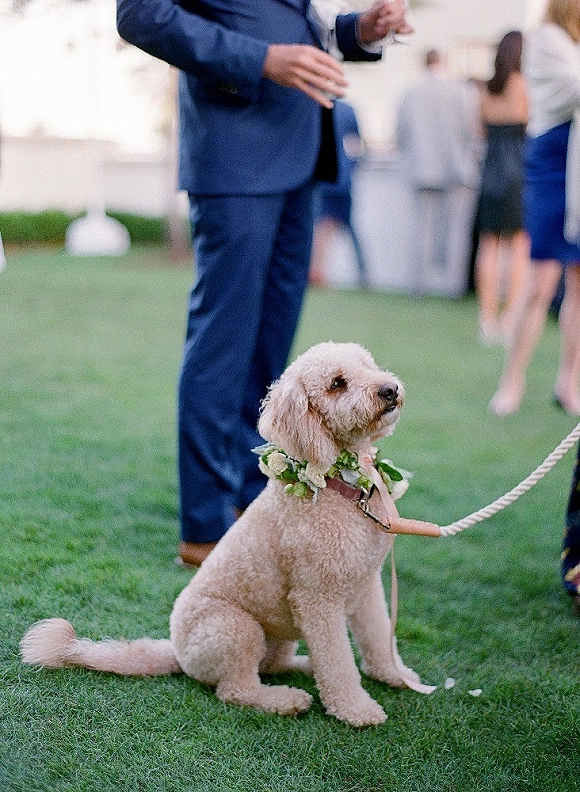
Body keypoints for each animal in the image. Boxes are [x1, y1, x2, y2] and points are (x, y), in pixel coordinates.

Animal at [21, 342, 431, 726]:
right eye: (337, 384)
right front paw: (356, 710)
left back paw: (302, 666)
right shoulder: (319, 598)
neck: (338, 487)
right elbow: (338, 662)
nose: (389, 389)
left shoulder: (366, 583)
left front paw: (396, 676)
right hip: (236, 629)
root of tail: (177, 653)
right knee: (235, 689)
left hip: (279, 632)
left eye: (368, 365)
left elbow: (378, 637)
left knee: (272, 665)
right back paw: (284, 699)